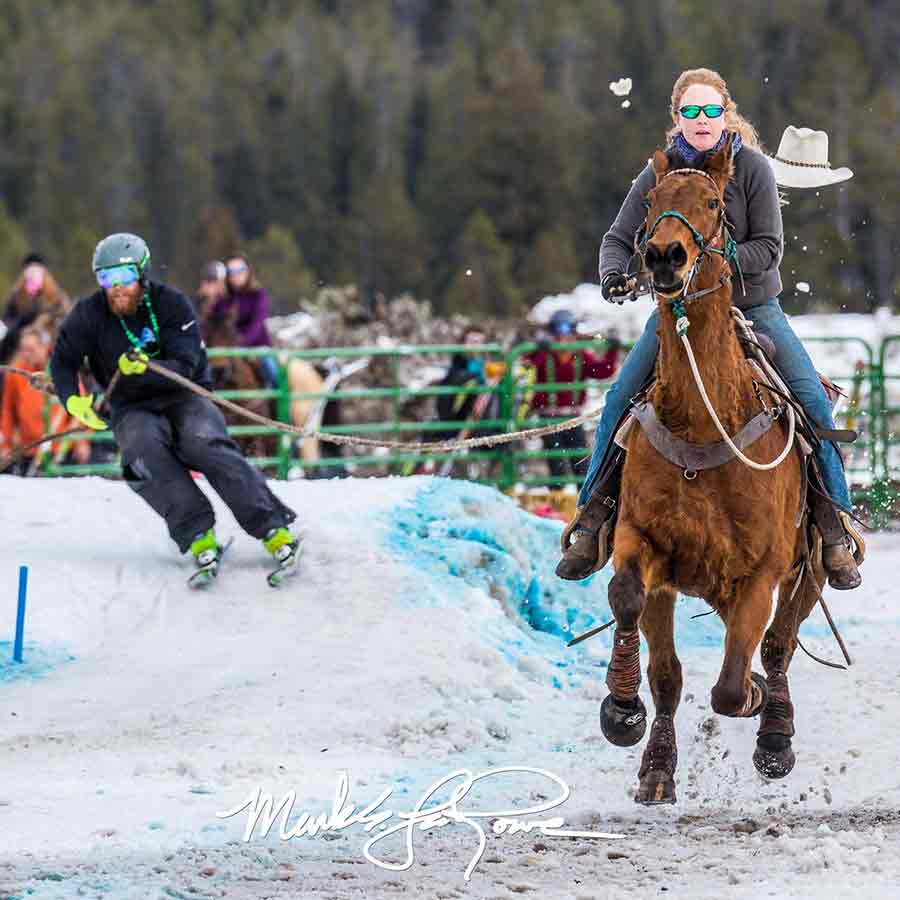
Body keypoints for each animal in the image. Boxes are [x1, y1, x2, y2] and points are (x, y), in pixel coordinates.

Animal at [600, 141, 828, 800]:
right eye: (651, 199)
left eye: (712, 203)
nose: (663, 256)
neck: (704, 419)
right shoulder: (643, 543)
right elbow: (648, 641)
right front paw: (629, 723)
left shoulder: (763, 571)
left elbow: (731, 684)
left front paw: (753, 700)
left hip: (809, 572)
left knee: (777, 646)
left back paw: (774, 734)